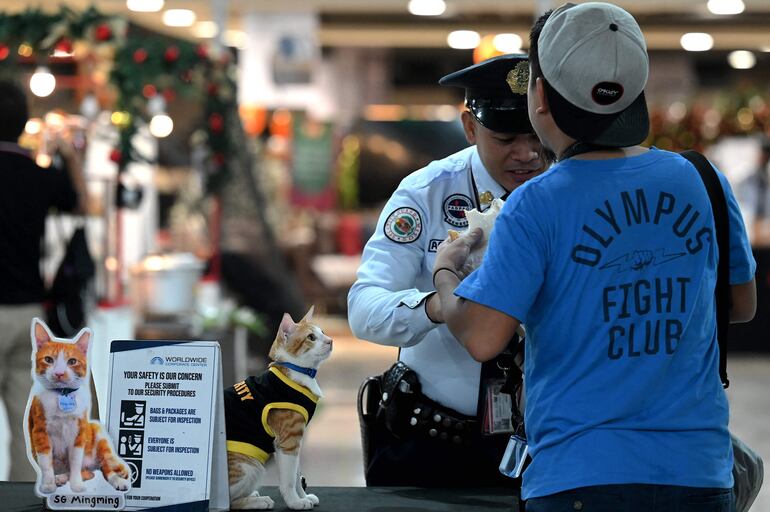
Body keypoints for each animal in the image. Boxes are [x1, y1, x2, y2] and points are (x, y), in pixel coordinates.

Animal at [24, 318, 129, 494]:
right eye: (48, 360)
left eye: (72, 361)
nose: (59, 373)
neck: (62, 393)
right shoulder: (40, 432)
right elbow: (46, 463)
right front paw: (48, 484)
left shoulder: (79, 432)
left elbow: (75, 461)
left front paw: (76, 485)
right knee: (88, 472)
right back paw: (60, 478)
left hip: (96, 429)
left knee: (105, 463)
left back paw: (119, 476)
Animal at [222, 306, 330, 510]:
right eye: (311, 337)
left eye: (323, 332)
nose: (330, 340)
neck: (299, 372)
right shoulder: (288, 441)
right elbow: (289, 480)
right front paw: (295, 502)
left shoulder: (296, 441)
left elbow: (297, 475)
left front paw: (304, 496)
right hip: (252, 466)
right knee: (224, 503)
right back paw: (259, 501)